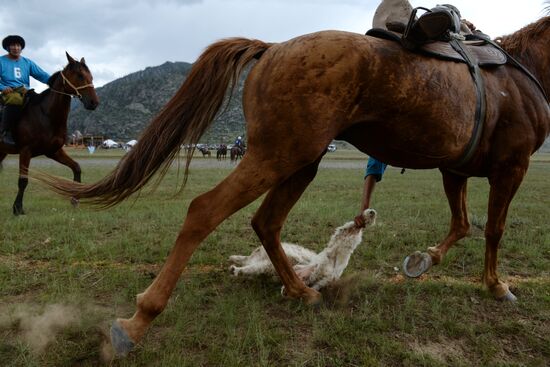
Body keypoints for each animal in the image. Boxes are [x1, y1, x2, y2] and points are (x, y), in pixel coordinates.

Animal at [0, 54, 99, 216]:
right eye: (79, 75)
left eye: (90, 76)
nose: (94, 102)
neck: (45, 115)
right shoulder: (25, 151)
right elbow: (23, 180)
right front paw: (18, 208)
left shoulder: (54, 151)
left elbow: (76, 167)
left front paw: (75, 199)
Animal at [40, 14, 550, 356]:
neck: (520, 74)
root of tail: (272, 47)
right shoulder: (512, 165)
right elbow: (493, 229)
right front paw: (496, 285)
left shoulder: (455, 170)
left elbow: (462, 223)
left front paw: (424, 261)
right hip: (277, 156)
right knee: (204, 210)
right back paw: (138, 321)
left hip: (300, 162)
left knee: (266, 222)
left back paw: (301, 291)